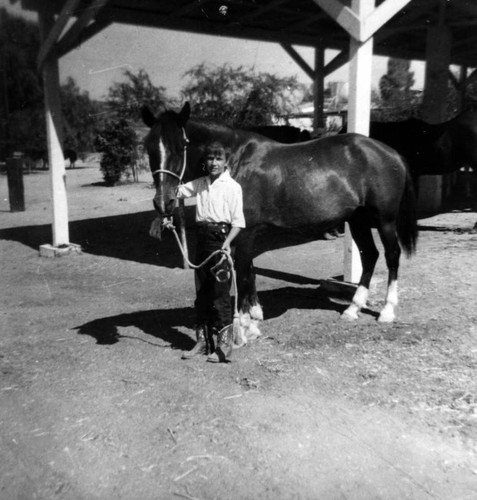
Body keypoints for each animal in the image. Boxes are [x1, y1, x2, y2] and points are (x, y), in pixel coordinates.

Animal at [142, 103, 416, 342]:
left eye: (181, 145)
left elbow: (243, 274)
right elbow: (250, 272)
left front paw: (245, 326)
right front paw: (255, 314)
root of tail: (391, 153)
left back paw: (387, 311)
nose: (164, 202)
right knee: (369, 255)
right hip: (357, 220)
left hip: (385, 221)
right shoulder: (241, 235)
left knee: (392, 255)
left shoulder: (245, 233)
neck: (236, 161)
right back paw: (353, 309)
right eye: (148, 147)